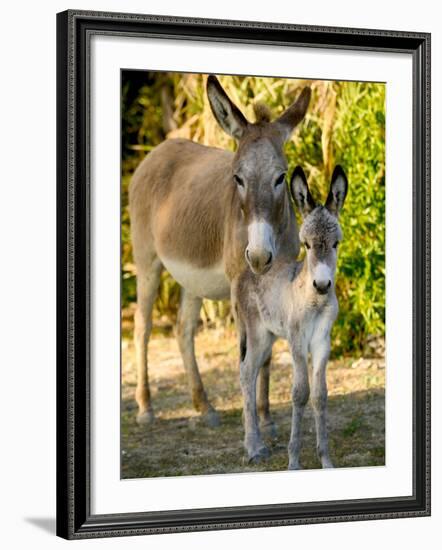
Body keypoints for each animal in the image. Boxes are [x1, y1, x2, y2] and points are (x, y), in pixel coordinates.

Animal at [237, 165, 348, 470]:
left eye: (336, 244)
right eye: (306, 245)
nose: (322, 285)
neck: (315, 301)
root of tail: (247, 270)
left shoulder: (322, 342)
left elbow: (320, 395)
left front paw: (326, 461)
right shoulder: (297, 341)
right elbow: (300, 393)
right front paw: (294, 461)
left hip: (269, 338)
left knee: (253, 371)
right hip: (256, 333)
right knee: (246, 372)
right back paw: (254, 446)